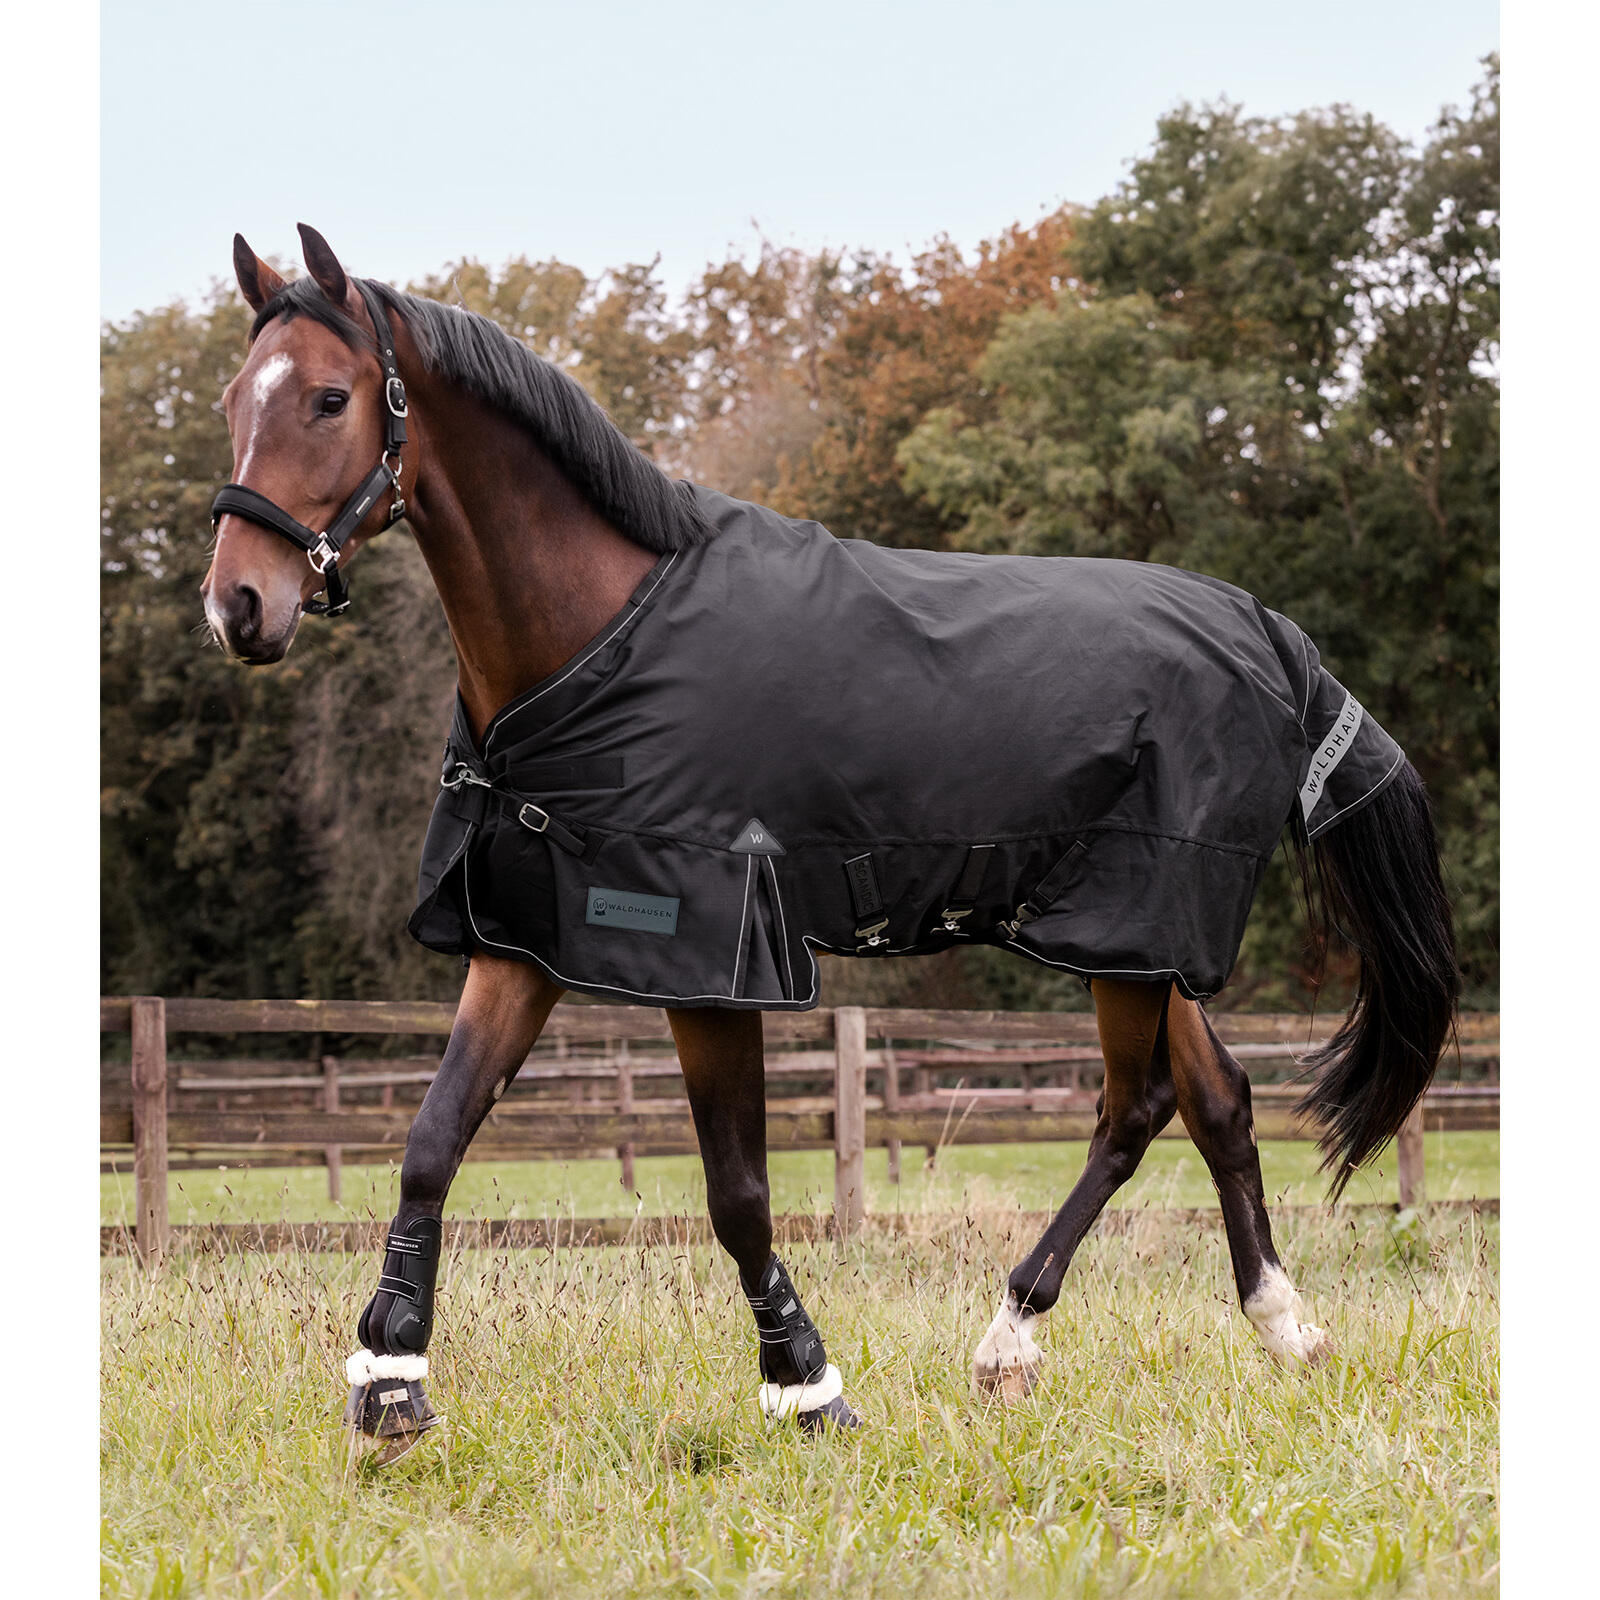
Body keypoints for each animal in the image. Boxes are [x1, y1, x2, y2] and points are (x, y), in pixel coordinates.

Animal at [201, 226, 1458, 1462]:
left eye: (327, 398)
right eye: (229, 400)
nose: (237, 608)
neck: (600, 633)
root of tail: (1266, 629)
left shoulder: (712, 956)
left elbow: (737, 1194)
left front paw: (806, 1386)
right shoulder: (524, 936)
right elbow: (432, 1139)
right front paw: (389, 1383)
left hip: (1135, 922)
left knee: (1133, 1109)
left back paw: (1009, 1338)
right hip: (1137, 938)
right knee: (1217, 1100)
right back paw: (1282, 1326)